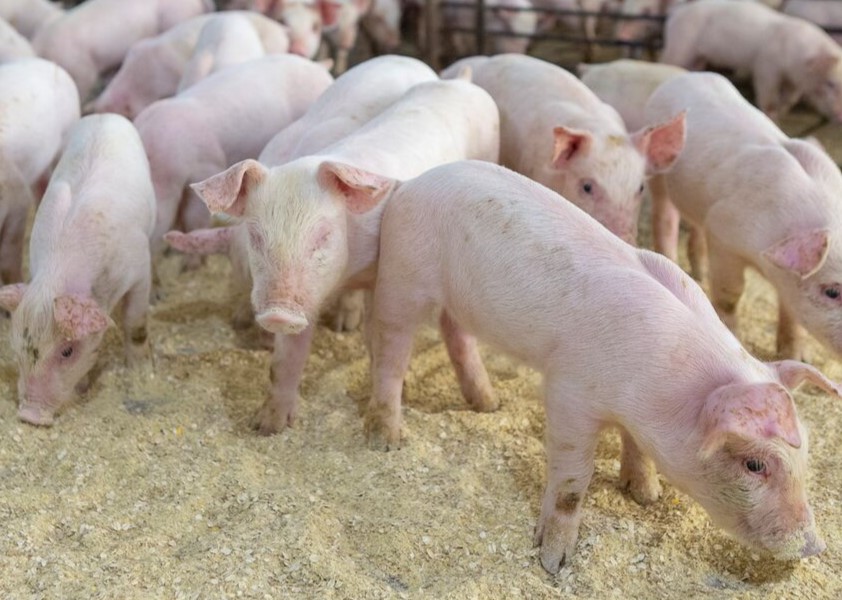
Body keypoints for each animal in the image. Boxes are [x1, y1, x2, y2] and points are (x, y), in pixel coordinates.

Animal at [0, 114, 156, 426]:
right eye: (16, 347)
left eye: (67, 351)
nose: (30, 415)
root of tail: (105, 116)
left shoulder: (139, 266)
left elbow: (135, 322)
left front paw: (140, 371)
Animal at [189, 76, 500, 434]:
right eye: (256, 236)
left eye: (323, 235)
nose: (278, 313)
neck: (348, 269)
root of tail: (460, 81)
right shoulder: (309, 296)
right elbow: (285, 361)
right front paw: (268, 426)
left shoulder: (384, 275)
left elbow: (377, 335)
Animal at [362, 158, 838, 571]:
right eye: (754, 465)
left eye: (806, 454)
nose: (814, 547)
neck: (658, 393)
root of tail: (408, 184)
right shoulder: (568, 392)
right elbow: (574, 479)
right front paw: (553, 563)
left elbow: (635, 448)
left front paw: (645, 495)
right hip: (403, 278)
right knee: (391, 352)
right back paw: (387, 441)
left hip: (457, 303)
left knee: (455, 335)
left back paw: (488, 404)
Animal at [645, 71, 842, 360]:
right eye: (832, 291)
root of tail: (686, 77)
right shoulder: (723, 235)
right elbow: (730, 295)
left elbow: (791, 313)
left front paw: (795, 356)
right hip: (659, 167)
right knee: (664, 213)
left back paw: (699, 274)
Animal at [660, 0, 842, 122]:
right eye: (830, 83)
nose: (839, 115)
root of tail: (676, 12)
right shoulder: (766, 66)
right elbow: (767, 90)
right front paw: (772, 115)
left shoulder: (793, 80)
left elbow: (790, 97)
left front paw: (782, 111)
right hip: (681, 43)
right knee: (667, 59)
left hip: (698, 55)